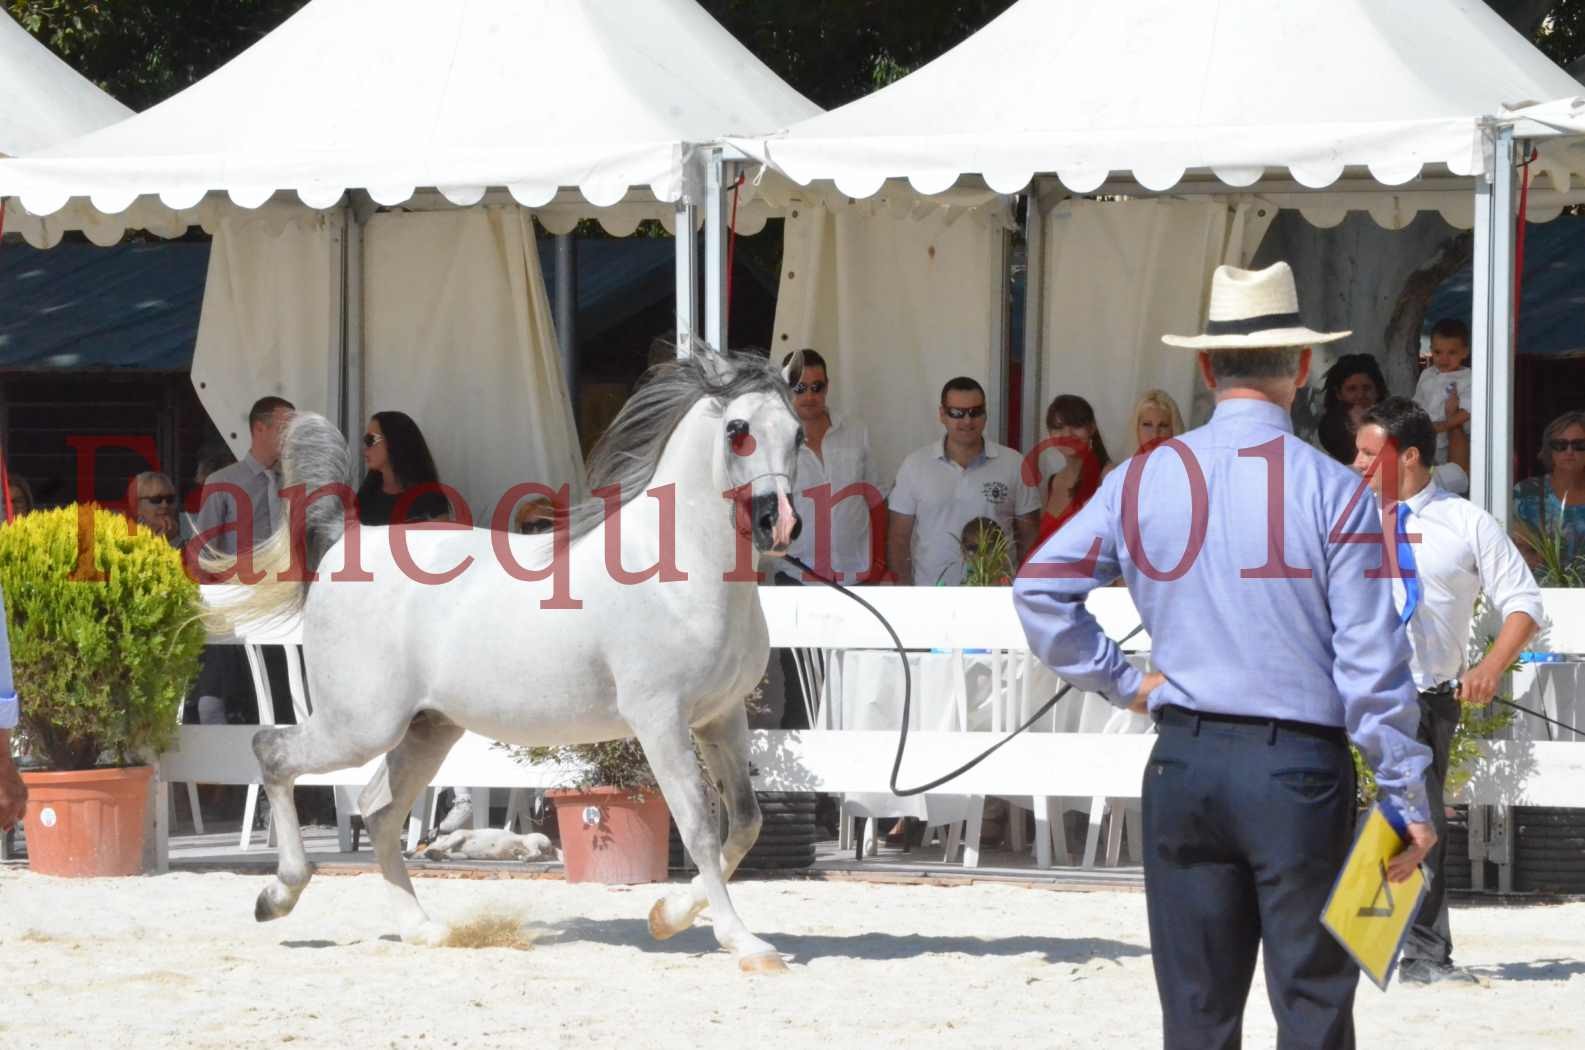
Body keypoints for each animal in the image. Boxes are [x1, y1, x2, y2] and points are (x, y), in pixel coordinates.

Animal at [209, 348, 798, 977]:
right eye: (737, 430)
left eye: (797, 432)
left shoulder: (721, 717)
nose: (780, 524)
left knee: (378, 810)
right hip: (360, 726)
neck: (675, 572)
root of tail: (346, 542)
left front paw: (668, 916)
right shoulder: (660, 718)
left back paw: (421, 929)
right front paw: (745, 944)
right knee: (272, 754)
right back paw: (278, 896)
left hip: (427, 728)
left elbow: (746, 821)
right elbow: (699, 827)